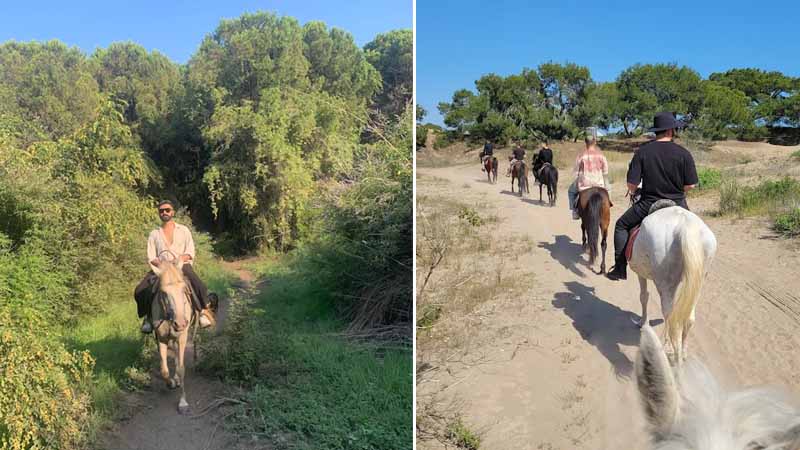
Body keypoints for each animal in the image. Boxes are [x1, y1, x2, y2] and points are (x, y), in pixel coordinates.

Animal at [151, 252, 199, 414]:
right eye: (164, 292)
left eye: (183, 289)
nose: (181, 323)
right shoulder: (161, 339)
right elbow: (164, 370)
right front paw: (170, 382)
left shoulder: (182, 337)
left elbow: (181, 368)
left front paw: (183, 402)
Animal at [628, 201, 717, 366]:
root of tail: (685, 225)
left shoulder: (640, 274)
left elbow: (643, 297)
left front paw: (643, 323)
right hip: (699, 282)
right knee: (688, 317)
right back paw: (683, 352)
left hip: (666, 282)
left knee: (670, 315)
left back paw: (668, 351)